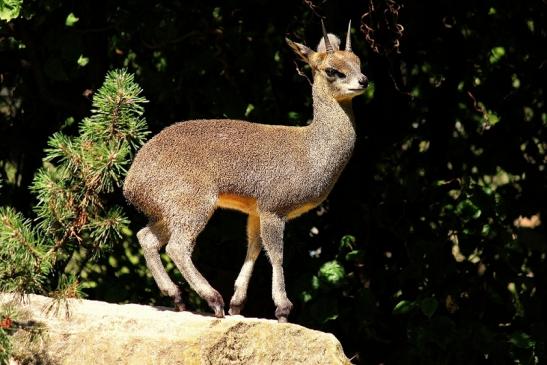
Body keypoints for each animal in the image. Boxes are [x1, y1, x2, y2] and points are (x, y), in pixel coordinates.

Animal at [124, 20, 368, 322]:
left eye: (358, 61)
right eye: (332, 70)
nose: (363, 81)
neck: (312, 149)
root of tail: (131, 181)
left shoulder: (255, 211)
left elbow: (253, 248)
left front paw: (238, 304)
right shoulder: (274, 209)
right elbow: (276, 254)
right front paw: (283, 308)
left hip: (168, 212)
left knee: (145, 238)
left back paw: (178, 297)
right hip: (194, 206)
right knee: (177, 247)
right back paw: (212, 300)